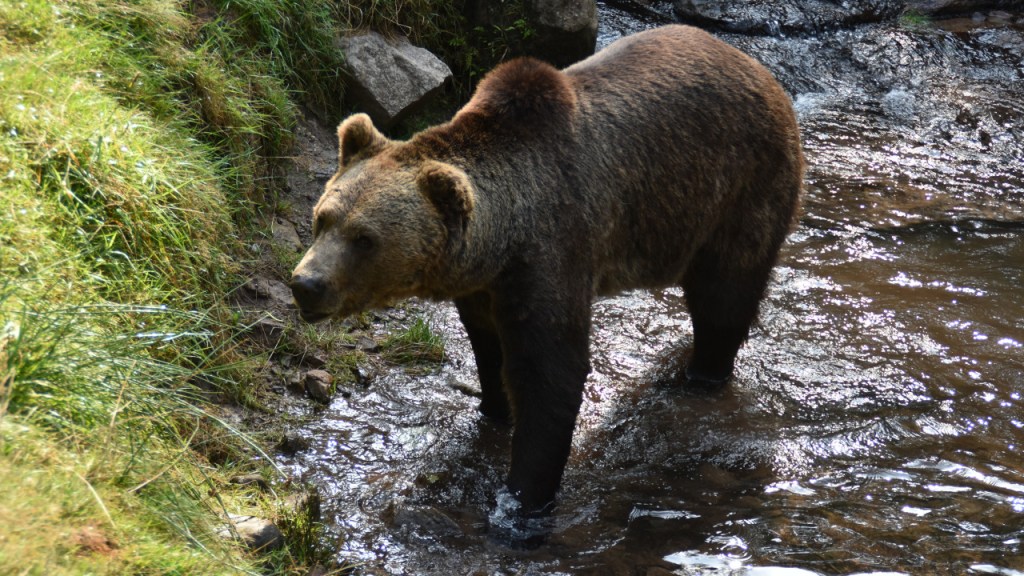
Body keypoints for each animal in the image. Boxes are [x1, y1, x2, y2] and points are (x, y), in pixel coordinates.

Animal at [290, 24, 803, 516]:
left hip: (740, 189)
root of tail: (760, 71)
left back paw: (702, 376)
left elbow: (551, 373)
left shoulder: (554, 248)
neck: (501, 240)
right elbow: (489, 348)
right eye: (322, 218)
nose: (306, 284)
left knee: (724, 300)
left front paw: (521, 501)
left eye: (365, 239)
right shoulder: (483, 286)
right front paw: (493, 407)